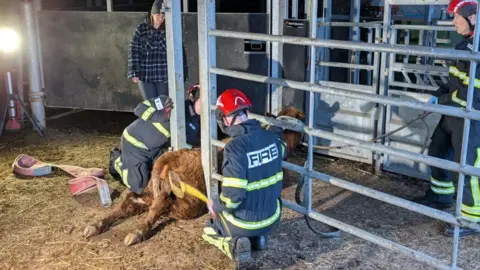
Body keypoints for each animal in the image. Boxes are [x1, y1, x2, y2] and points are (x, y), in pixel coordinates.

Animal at [83, 106, 306, 246]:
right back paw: (135, 233)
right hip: (168, 194)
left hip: (147, 194)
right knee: (151, 208)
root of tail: (166, 159)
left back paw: (95, 225)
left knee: (126, 203)